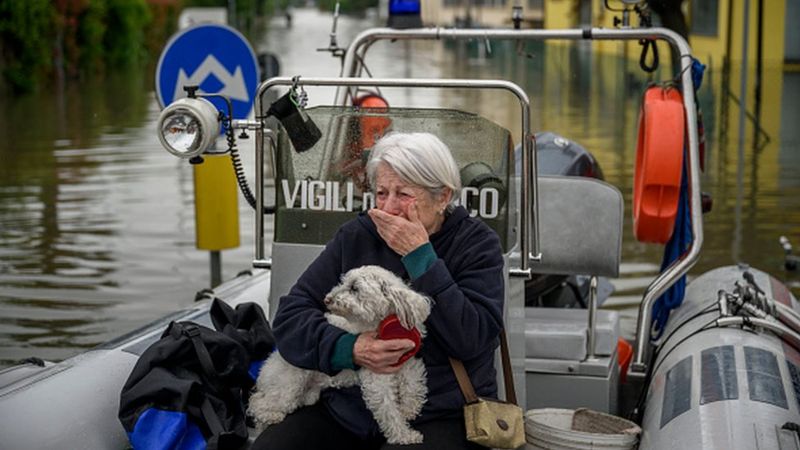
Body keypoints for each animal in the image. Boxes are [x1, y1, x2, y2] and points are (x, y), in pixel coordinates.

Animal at [250, 266, 434, 444]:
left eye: (354, 288)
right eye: (344, 282)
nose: (327, 299)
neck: (377, 324)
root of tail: (265, 369)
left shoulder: (409, 362)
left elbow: (413, 384)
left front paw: (408, 409)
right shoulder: (377, 378)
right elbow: (389, 411)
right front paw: (405, 436)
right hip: (289, 385)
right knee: (257, 403)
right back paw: (271, 415)